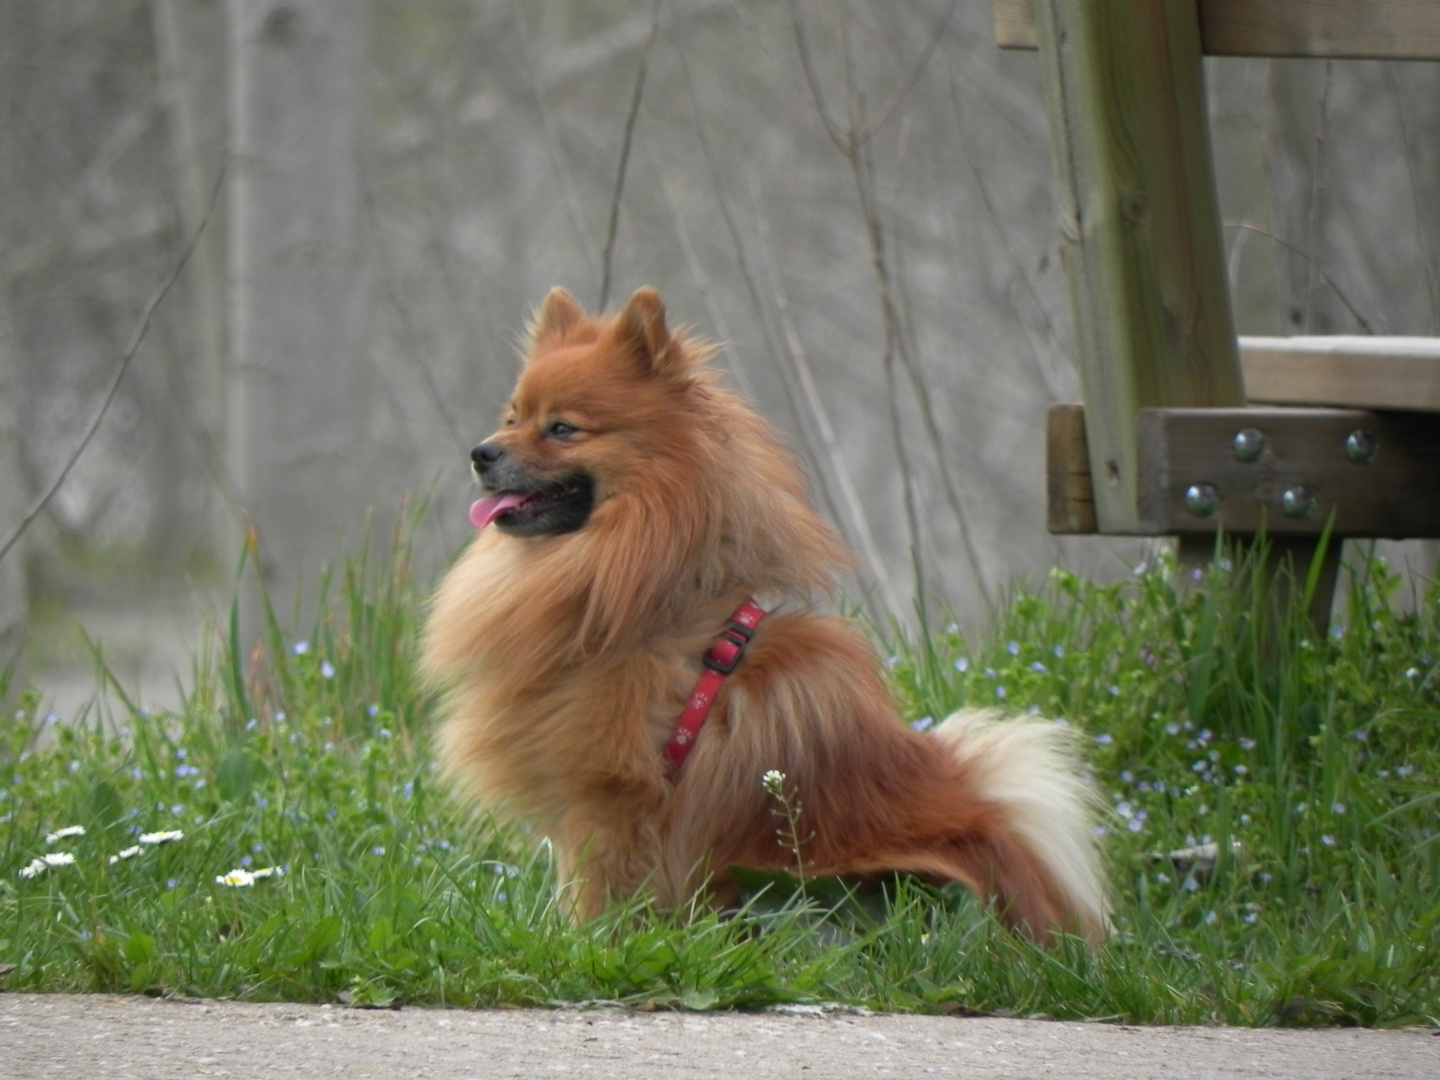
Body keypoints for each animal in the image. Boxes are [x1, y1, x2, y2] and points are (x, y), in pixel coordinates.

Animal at [420, 283, 1105, 944]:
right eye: (512, 418)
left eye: (561, 428)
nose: (481, 452)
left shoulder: (608, 798)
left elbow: (593, 901)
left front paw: (580, 948)